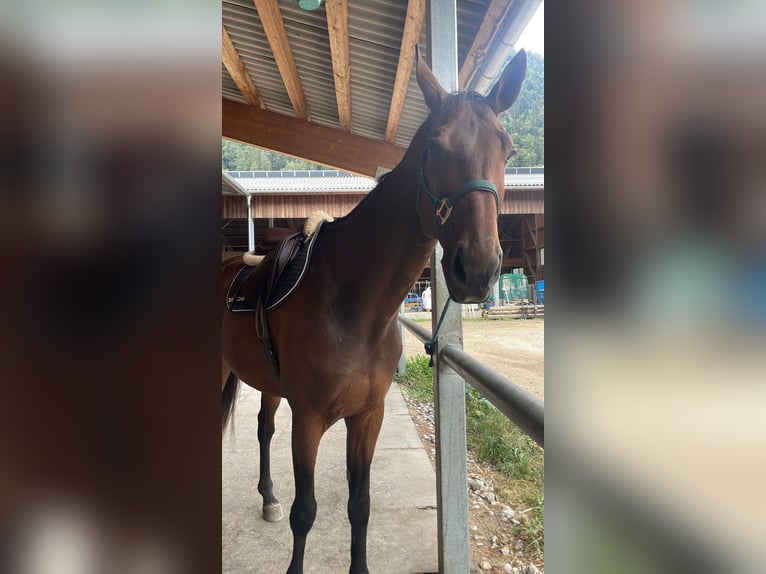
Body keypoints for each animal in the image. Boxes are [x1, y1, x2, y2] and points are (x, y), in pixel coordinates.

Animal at [222, 49, 527, 574]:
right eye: (435, 147)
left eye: (506, 149)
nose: (477, 268)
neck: (352, 304)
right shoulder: (309, 420)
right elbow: (306, 512)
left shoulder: (368, 417)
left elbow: (359, 505)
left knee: (263, 429)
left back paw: (267, 497)